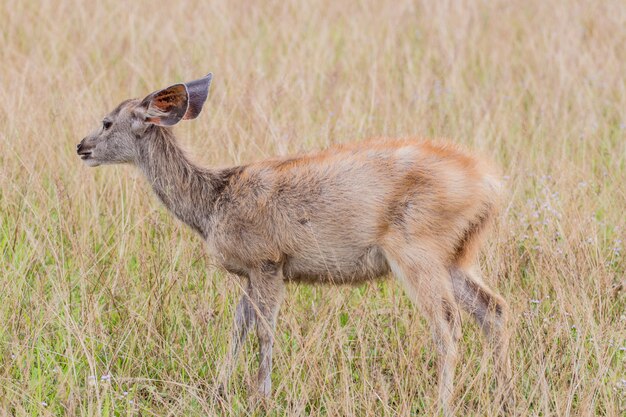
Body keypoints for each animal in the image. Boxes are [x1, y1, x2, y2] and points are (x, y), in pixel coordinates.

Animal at [77, 73, 508, 414]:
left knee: (448, 324)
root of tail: (488, 184)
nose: (81, 146)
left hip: (417, 248)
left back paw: (443, 403)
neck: (213, 203)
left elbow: (265, 330)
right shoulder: (250, 272)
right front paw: (219, 391)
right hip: (456, 255)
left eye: (107, 121)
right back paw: (499, 394)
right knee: (493, 308)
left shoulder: (267, 260)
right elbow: (238, 327)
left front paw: (260, 397)